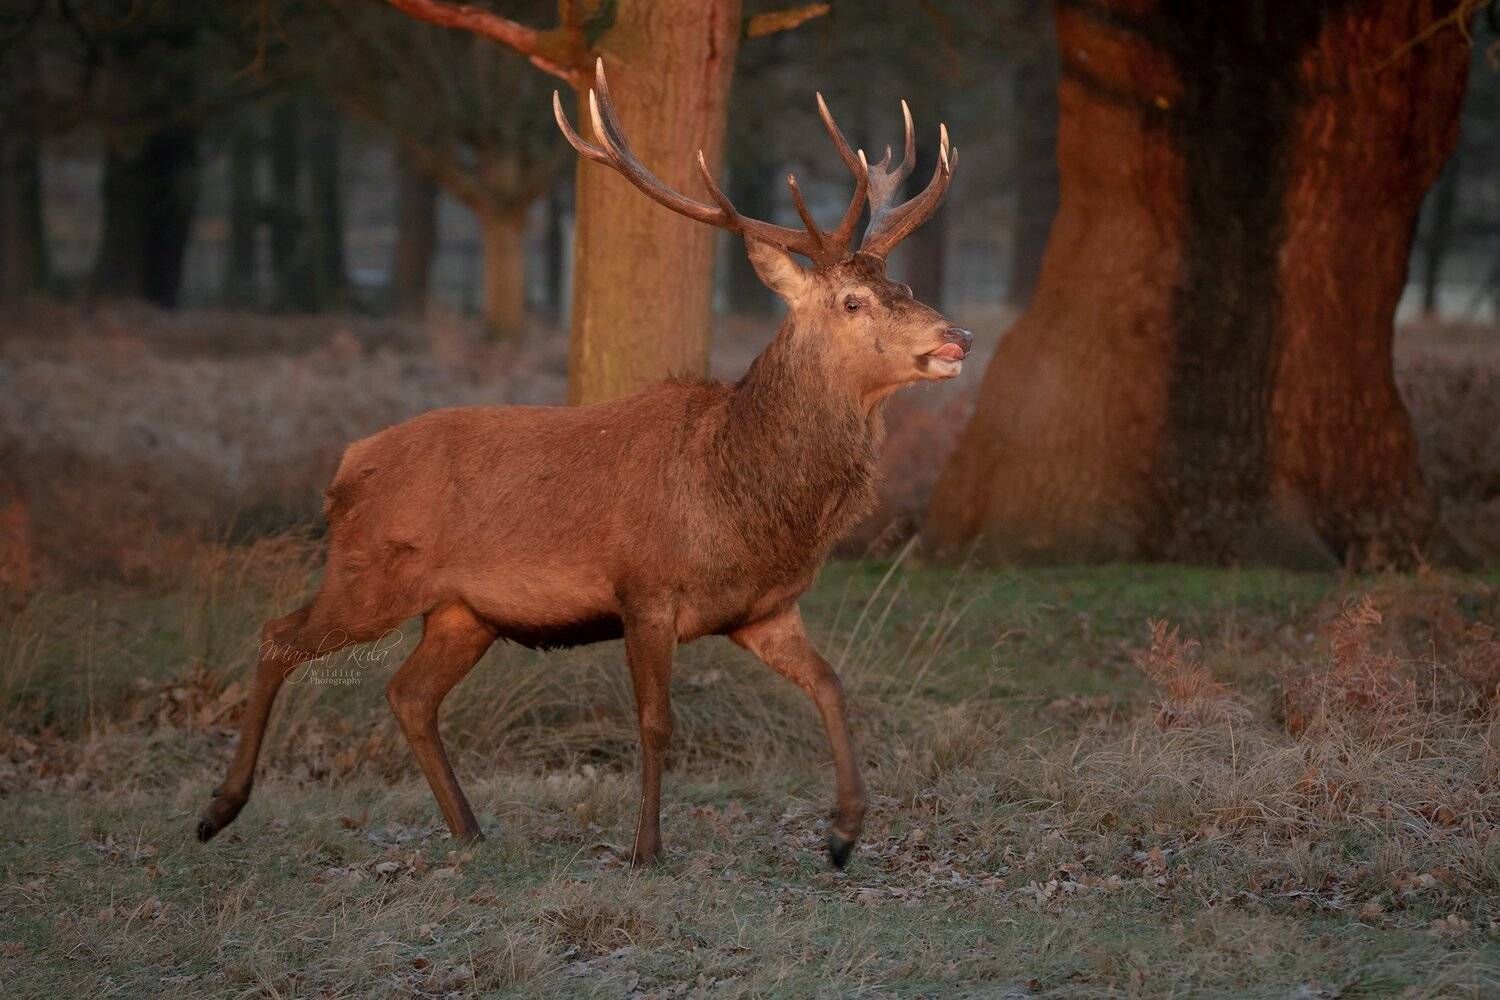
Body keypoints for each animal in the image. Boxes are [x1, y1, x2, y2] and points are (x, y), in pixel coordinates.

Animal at [196, 59, 967, 869]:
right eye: (852, 301)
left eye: (904, 287)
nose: (956, 337)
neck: (737, 496)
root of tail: (345, 467)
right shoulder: (645, 588)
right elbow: (656, 721)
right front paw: (646, 849)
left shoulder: (763, 609)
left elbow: (830, 684)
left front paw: (844, 832)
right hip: (367, 575)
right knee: (279, 634)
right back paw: (219, 809)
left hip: (462, 612)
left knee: (409, 692)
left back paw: (468, 829)